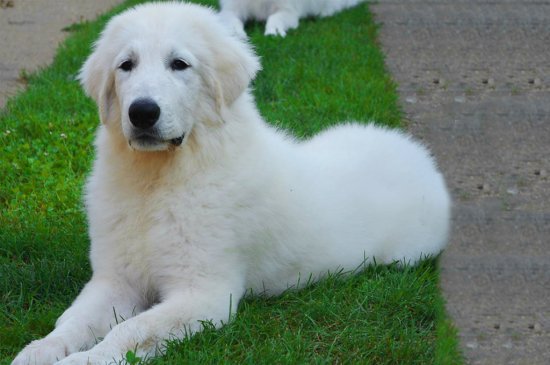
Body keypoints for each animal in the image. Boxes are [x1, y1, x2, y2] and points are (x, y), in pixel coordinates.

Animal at [220, 0, 366, 37]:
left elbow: (274, 18)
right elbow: (232, 21)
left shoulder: (288, 12)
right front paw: (234, 33)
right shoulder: (230, 9)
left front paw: (274, 30)